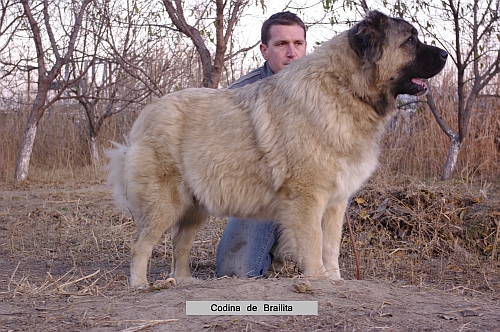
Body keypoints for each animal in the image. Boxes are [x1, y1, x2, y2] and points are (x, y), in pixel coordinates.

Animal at [107, 9, 448, 286]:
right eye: (410, 41)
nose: (445, 55)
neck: (345, 88)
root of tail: (145, 115)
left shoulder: (336, 202)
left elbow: (331, 246)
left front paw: (335, 279)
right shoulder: (308, 198)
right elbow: (313, 243)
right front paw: (318, 279)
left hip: (196, 206)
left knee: (180, 243)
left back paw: (184, 281)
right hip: (165, 203)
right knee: (141, 245)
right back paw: (140, 285)